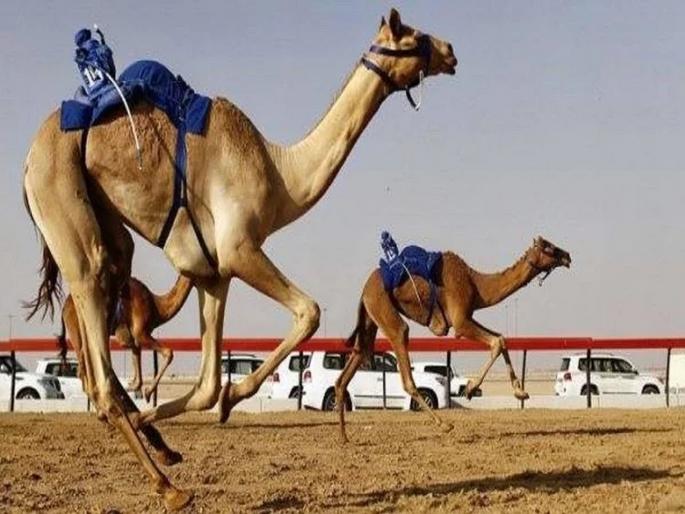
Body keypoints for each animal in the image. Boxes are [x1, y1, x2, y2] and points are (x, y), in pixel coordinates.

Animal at [57, 275, 193, 402]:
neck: (157, 307)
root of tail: (64, 307)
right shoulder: (141, 335)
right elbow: (169, 352)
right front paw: (148, 392)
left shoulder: (135, 341)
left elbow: (138, 381)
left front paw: (135, 390)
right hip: (77, 332)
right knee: (81, 370)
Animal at [335, 237, 571, 443]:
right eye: (549, 248)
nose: (567, 256)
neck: (475, 283)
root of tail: (364, 290)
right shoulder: (460, 321)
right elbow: (496, 342)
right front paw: (470, 389)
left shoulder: (468, 316)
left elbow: (501, 339)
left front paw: (520, 392)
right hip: (383, 307)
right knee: (404, 353)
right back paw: (444, 424)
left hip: (370, 318)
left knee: (352, 363)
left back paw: (344, 437)